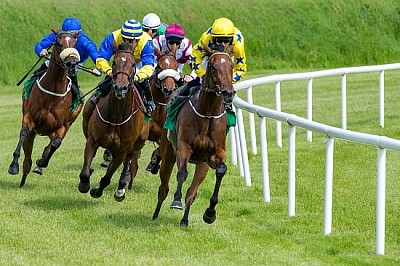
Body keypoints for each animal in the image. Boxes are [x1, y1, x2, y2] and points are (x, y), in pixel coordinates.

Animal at [9, 28, 82, 187]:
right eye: (58, 43)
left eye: (75, 43)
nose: (71, 63)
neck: (53, 92)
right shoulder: (29, 118)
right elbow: (24, 133)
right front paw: (13, 166)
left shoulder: (61, 126)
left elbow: (56, 143)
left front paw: (42, 162)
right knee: (27, 157)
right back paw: (24, 175)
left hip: (66, 124)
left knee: (51, 144)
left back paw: (39, 164)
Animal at [78, 41, 147, 201]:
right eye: (114, 62)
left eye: (133, 64)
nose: (120, 88)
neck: (117, 117)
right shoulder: (92, 140)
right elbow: (85, 171)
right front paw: (84, 183)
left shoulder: (122, 150)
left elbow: (107, 177)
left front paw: (98, 190)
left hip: (138, 141)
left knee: (129, 159)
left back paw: (122, 185)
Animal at [152, 46, 234, 225]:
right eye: (213, 67)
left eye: (231, 66)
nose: (228, 92)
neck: (207, 114)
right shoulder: (184, 147)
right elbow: (182, 173)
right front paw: (176, 201)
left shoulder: (214, 154)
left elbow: (221, 169)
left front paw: (210, 212)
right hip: (168, 152)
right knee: (163, 187)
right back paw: (155, 214)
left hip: (201, 165)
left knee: (192, 192)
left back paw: (185, 220)